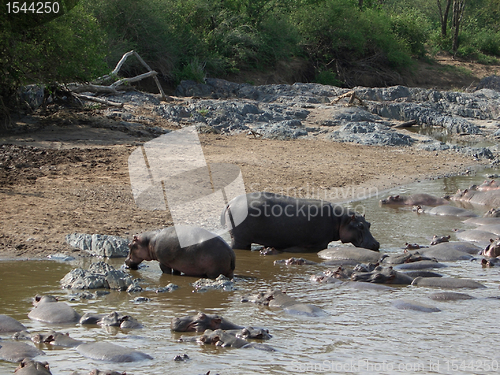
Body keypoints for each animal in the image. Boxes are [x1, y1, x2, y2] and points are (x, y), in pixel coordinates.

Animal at [220, 194, 378, 253]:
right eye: (360, 226)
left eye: (369, 224)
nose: (377, 244)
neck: (341, 220)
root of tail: (230, 203)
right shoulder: (320, 244)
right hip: (239, 240)